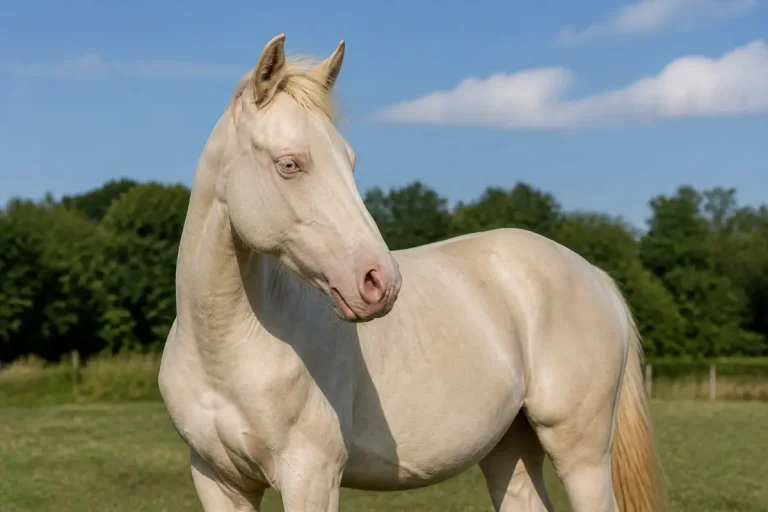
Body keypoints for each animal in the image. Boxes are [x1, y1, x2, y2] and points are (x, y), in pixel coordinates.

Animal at [158, 34, 665, 511]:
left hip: (581, 452)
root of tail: (596, 277)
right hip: (510, 449)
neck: (224, 350)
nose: (380, 282)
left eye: (350, 160)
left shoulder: (311, 477)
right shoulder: (219, 481)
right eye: (289, 163)